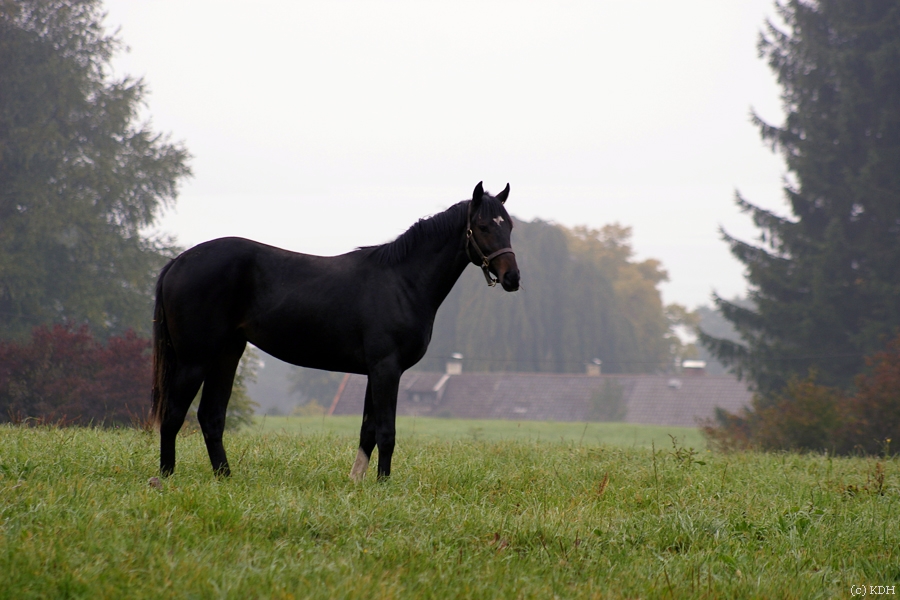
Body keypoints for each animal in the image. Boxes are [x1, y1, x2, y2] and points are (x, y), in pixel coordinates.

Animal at [150, 180, 516, 480]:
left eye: (509, 226)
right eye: (482, 226)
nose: (512, 277)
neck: (402, 281)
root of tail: (178, 261)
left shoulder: (375, 371)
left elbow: (368, 431)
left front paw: (357, 482)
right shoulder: (387, 369)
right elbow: (387, 432)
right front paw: (384, 486)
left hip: (227, 354)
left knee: (211, 417)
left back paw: (225, 477)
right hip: (195, 359)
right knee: (173, 414)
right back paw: (165, 477)